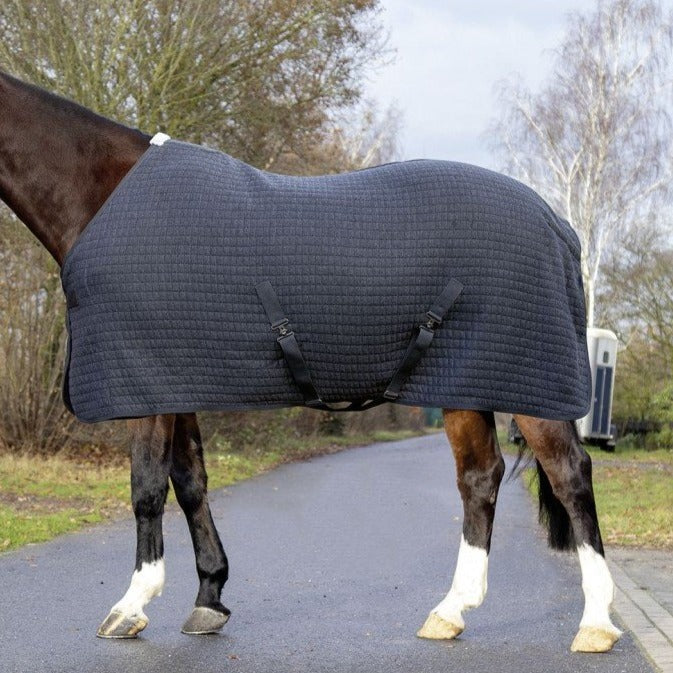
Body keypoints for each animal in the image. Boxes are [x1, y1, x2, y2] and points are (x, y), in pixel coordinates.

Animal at [0, 71, 620, 653]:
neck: (103, 193)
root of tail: (558, 225)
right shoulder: (176, 381)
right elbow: (190, 482)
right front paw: (209, 598)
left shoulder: (147, 382)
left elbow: (148, 488)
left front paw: (131, 606)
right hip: (464, 386)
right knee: (480, 478)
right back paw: (451, 611)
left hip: (531, 390)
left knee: (570, 476)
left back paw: (594, 622)